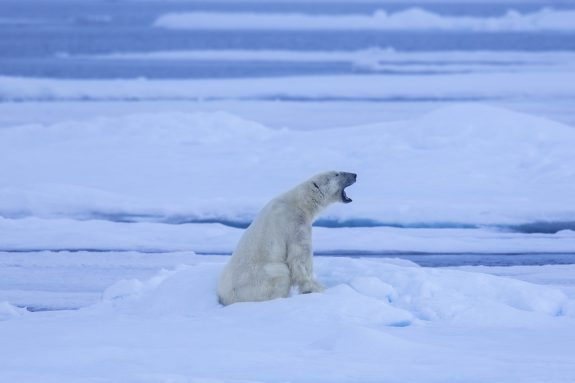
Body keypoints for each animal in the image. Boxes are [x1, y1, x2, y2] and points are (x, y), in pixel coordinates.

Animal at [218, 171, 358, 306]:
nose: (355, 175)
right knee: (281, 273)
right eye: (337, 174)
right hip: (259, 279)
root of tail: (226, 298)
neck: (299, 202)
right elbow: (300, 258)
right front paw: (316, 288)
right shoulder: (294, 223)